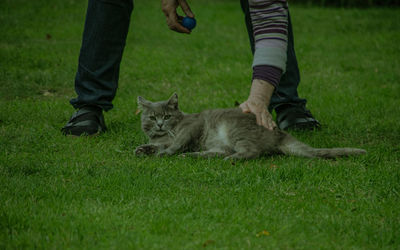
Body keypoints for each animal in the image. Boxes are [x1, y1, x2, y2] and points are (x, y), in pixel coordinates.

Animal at [136, 94, 368, 160]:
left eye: (166, 116)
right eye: (152, 117)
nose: (159, 124)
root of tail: (279, 133)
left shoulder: (191, 127)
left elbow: (175, 144)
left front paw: (163, 153)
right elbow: (159, 145)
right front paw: (143, 149)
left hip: (234, 131)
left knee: (251, 151)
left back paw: (232, 159)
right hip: (220, 143)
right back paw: (190, 156)